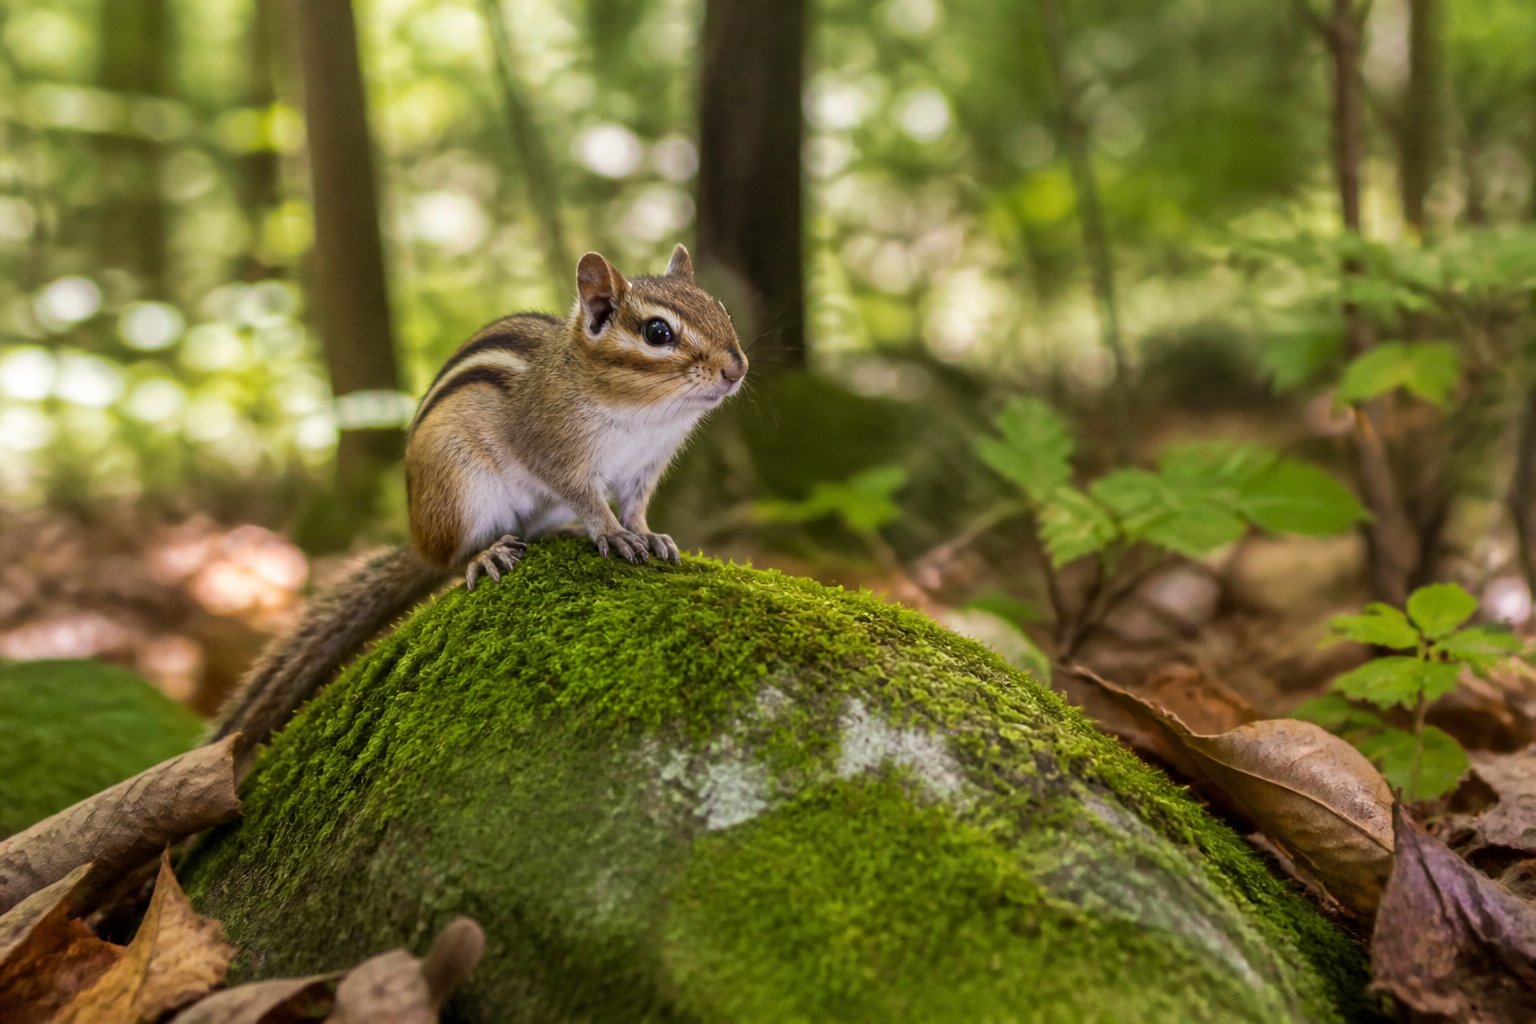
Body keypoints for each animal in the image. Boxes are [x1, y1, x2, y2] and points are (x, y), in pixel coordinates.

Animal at [214, 244, 747, 761]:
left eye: (721, 308)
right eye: (657, 332)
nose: (736, 368)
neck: (645, 415)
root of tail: (420, 539)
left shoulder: (645, 467)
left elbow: (635, 506)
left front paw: (647, 535)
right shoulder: (557, 454)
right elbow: (592, 502)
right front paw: (613, 534)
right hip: (460, 493)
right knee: (453, 558)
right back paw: (486, 553)